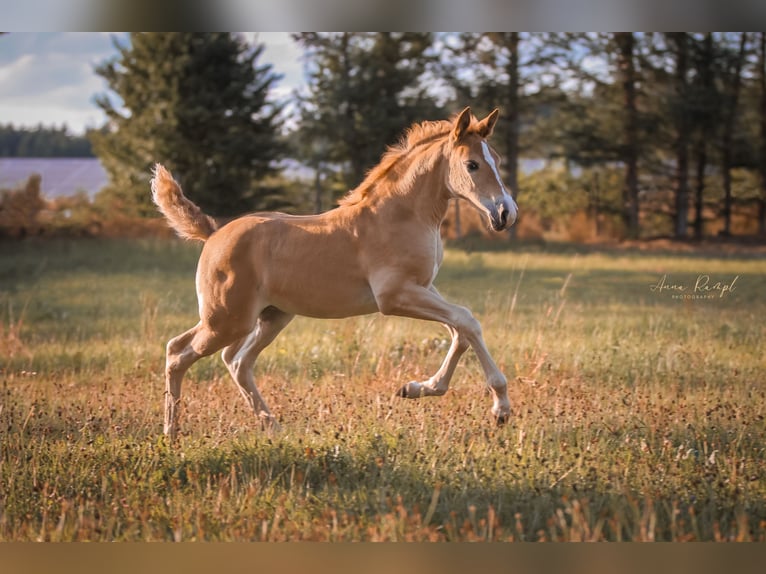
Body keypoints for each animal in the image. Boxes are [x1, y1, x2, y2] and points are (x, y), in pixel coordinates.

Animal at [152, 109, 516, 440]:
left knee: (236, 361)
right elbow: (467, 321)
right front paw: (500, 407)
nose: (505, 213)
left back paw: (271, 426)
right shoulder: (395, 295)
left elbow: (459, 331)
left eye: (497, 159)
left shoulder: (424, 288)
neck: (401, 215)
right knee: (177, 352)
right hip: (225, 320)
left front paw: (416, 388)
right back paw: (171, 431)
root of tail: (213, 233)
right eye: (472, 164)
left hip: (270, 317)